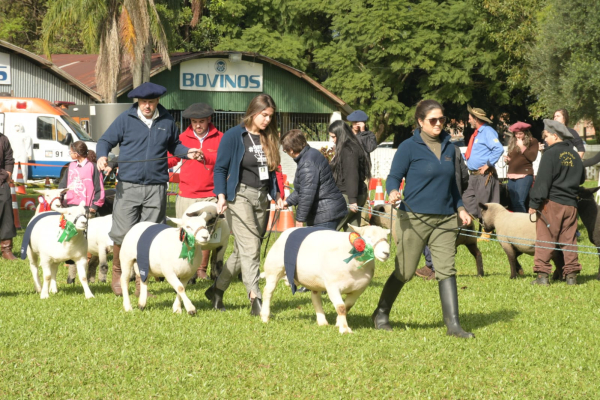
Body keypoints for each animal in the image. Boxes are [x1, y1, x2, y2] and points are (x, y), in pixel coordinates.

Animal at [260, 225, 392, 334]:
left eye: (386, 238)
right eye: (368, 237)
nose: (386, 253)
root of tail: (289, 230)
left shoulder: (358, 289)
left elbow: (347, 306)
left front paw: (338, 323)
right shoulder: (332, 286)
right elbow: (341, 307)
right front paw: (345, 329)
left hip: (314, 279)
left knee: (315, 298)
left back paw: (322, 321)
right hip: (274, 270)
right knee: (268, 292)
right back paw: (265, 317)